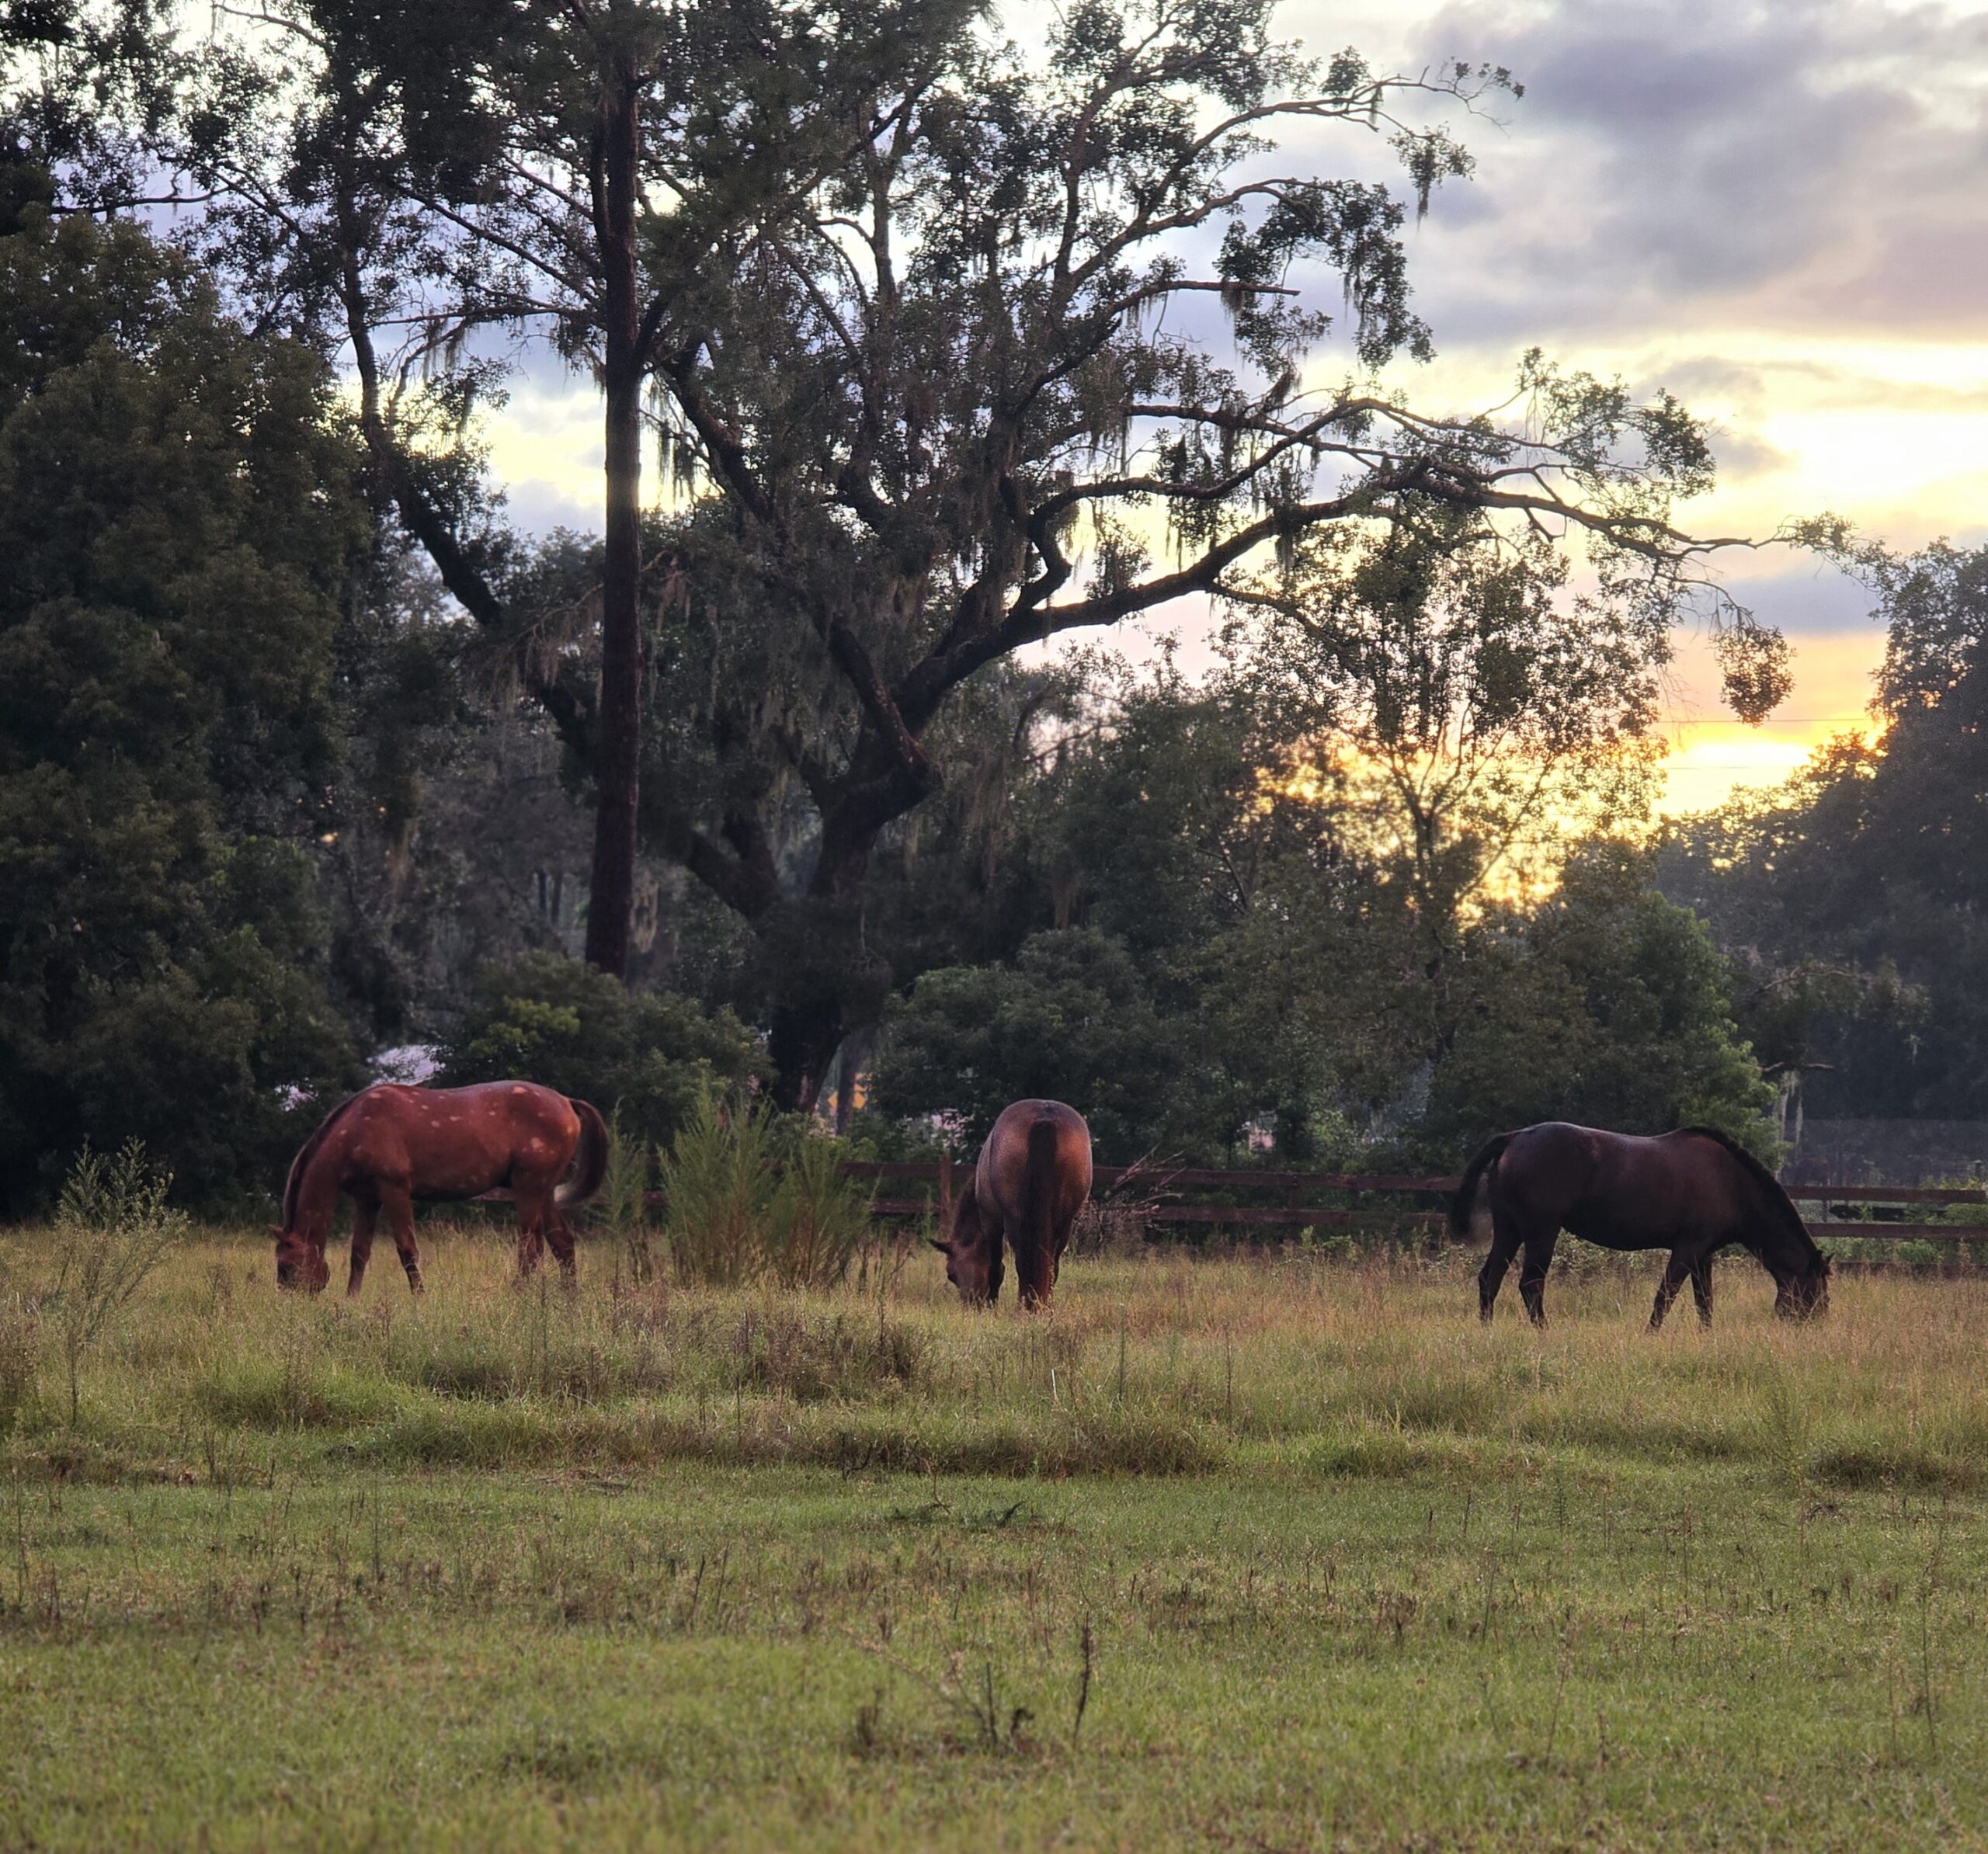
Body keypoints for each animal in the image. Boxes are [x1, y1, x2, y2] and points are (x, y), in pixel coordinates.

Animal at [274, 1081, 609, 1294]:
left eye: (286, 1266)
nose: (292, 1303)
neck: (357, 1128)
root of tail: (567, 1102)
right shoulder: (367, 1199)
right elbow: (359, 1252)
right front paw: (351, 1299)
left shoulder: (395, 1190)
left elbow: (407, 1249)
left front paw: (420, 1297)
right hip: (545, 1190)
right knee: (562, 1243)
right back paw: (569, 1298)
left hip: (529, 1187)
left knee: (530, 1248)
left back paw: (519, 1294)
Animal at [931, 1100, 1093, 1309]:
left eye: (951, 1275)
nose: (971, 1304)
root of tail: (1045, 1118)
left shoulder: (991, 1222)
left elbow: (996, 1267)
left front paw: (991, 1304)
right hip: (1064, 1222)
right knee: (1051, 1267)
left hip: (1014, 1221)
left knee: (1023, 1263)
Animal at [1450, 1121, 1830, 1330]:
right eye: (1817, 1290)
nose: (1816, 1323)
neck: (1731, 1182)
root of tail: (1514, 1138)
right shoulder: (1687, 1248)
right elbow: (1666, 1297)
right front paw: (1651, 1334)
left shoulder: (1703, 1255)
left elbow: (1705, 1302)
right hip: (1541, 1233)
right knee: (1530, 1285)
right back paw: (1544, 1331)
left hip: (1509, 1231)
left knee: (1490, 1279)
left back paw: (1486, 1329)